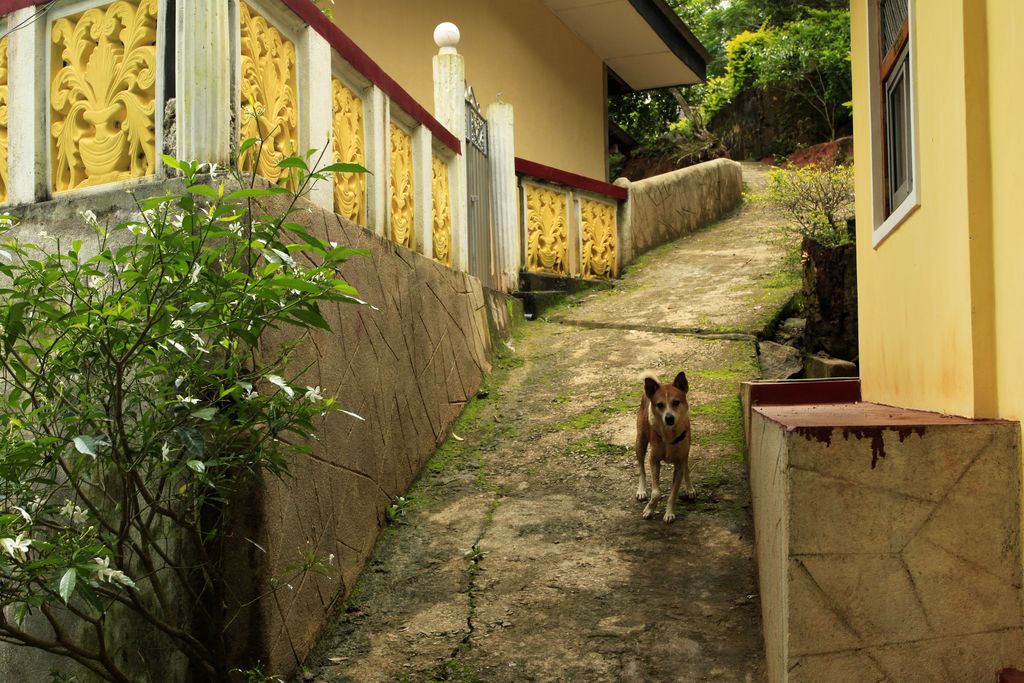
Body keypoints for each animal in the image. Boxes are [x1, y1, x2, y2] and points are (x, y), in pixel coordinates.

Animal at [630, 370, 696, 520]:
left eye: (676, 402)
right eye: (660, 405)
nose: (669, 418)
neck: (669, 435)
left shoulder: (679, 462)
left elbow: (673, 493)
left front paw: (669, 513)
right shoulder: (654, 461)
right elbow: (656, 492)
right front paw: (649, 509)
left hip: (686, 449)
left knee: (686, 466)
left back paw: (689, 488)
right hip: (640, 442)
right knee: (641, 468)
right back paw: (641, 490)